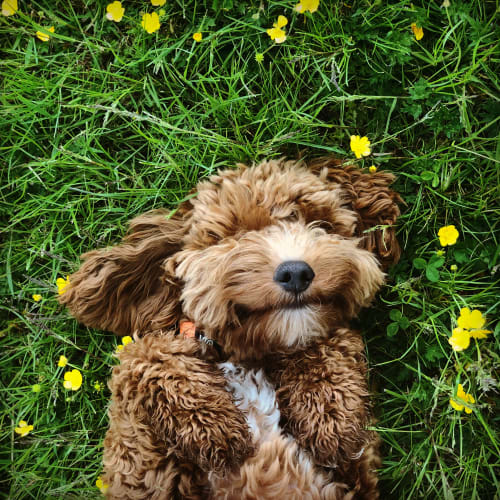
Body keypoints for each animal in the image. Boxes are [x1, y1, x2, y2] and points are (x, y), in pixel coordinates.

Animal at [59, 159, 402, 500]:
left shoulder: (357, 473)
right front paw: (213, 427)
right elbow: (143, 355)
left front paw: (329, 415)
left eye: (320, 224)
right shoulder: (140, 468)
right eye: (236, 234)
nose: (295, 273)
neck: (243, 361)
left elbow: (333, 341)